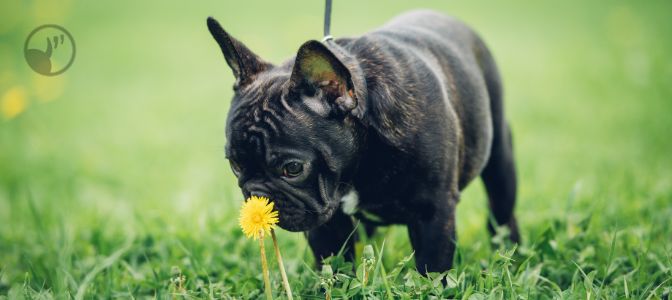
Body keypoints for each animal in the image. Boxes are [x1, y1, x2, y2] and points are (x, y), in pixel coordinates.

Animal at [207, 9, 524, 272]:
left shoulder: (433, 210)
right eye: (235, 165)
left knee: (501, 211)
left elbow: (432, 267)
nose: (256, 196)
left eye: (292, 168)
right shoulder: (327, 222)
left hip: (500, 160)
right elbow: (333, 264)